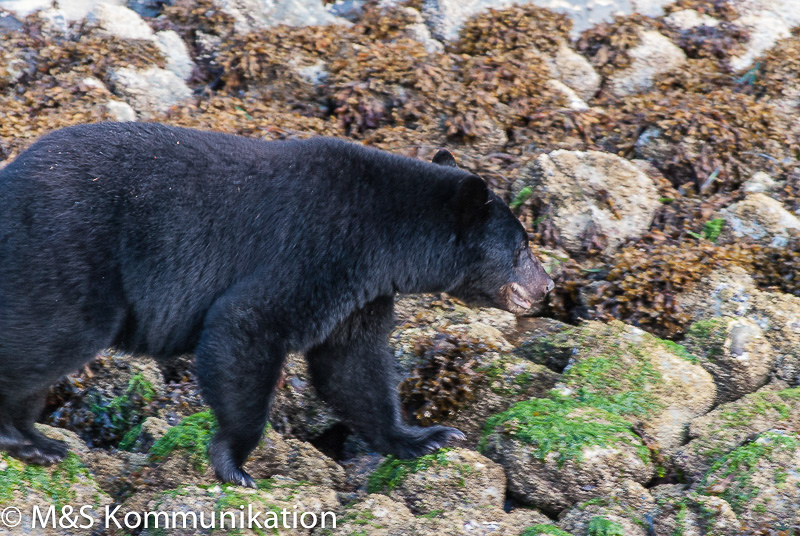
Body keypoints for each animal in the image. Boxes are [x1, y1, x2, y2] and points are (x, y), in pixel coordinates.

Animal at [0, 123, 552, 488]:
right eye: (522, 245)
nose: (547, 286)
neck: (390, 233)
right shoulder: (318, 247)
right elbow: (246, 324)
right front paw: (235, 462)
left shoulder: (362, 292)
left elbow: (353, 365)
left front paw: (425, 436)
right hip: (68, 250)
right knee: (53, 334)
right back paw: (26, 439)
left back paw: (39, 440)